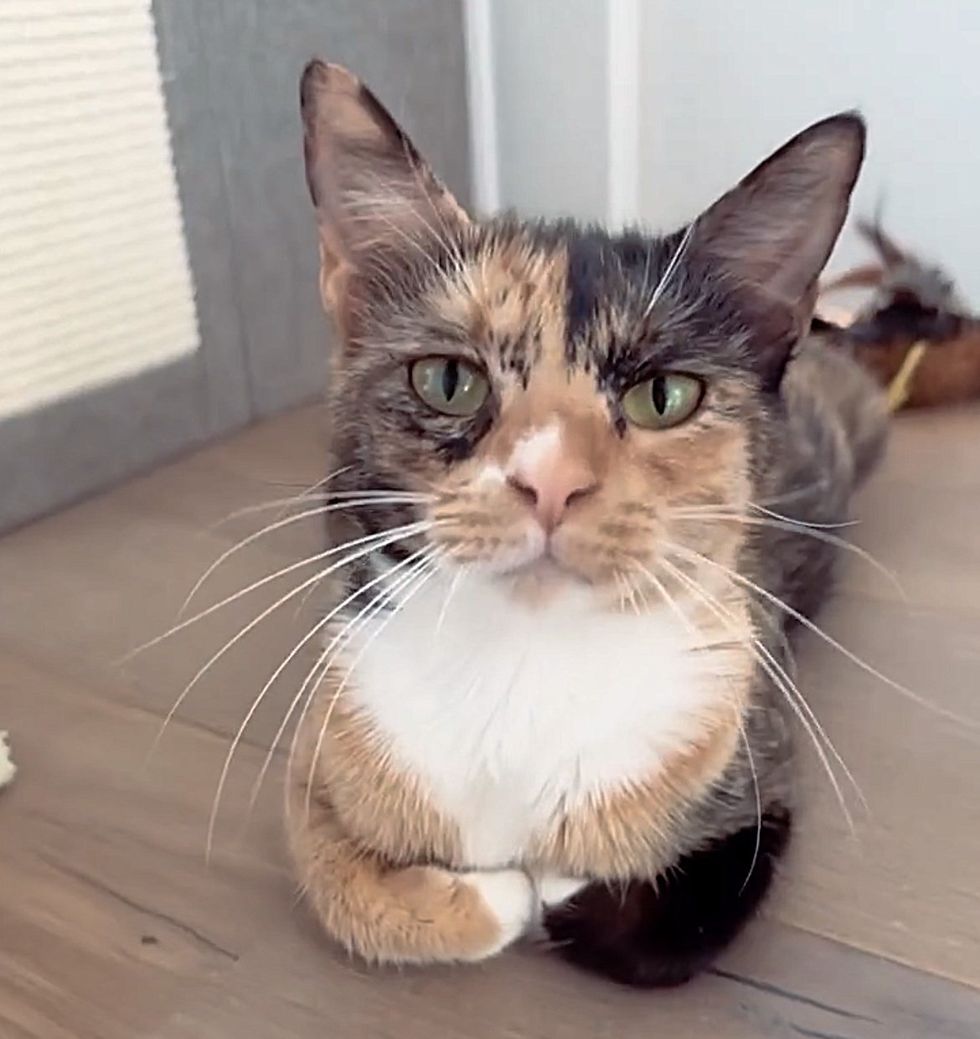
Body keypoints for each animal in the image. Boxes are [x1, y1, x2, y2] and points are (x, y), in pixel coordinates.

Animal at [284, 60, 889, 984]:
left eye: (664, 395)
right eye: (448, 380)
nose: (551, 480)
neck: (525, 667)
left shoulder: (759, 766)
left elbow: (644, 929)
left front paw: (551, 887)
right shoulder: (321, 744)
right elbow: (333, 884)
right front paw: (490, 898)